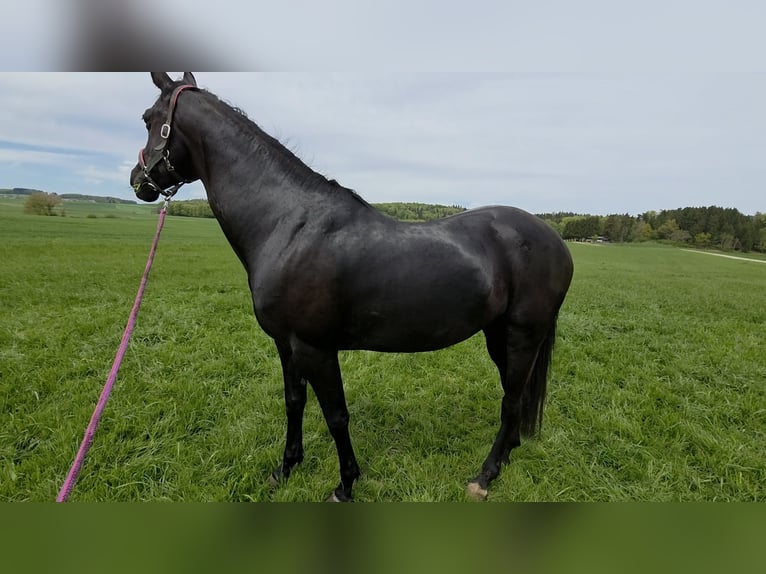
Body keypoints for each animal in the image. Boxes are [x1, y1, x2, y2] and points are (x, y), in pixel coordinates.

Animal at [130, 72, 574, 501]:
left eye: (149, 119)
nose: (138, 181)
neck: (288, 224)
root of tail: (557, 242)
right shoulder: (286, 345)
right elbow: (294, 403)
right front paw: (285, 469)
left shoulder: (316, 348)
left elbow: (336, 415)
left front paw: (345, 485)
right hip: (498, 336)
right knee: (515, 399)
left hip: (522, 336)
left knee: (511, 401)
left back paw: (485, 476)